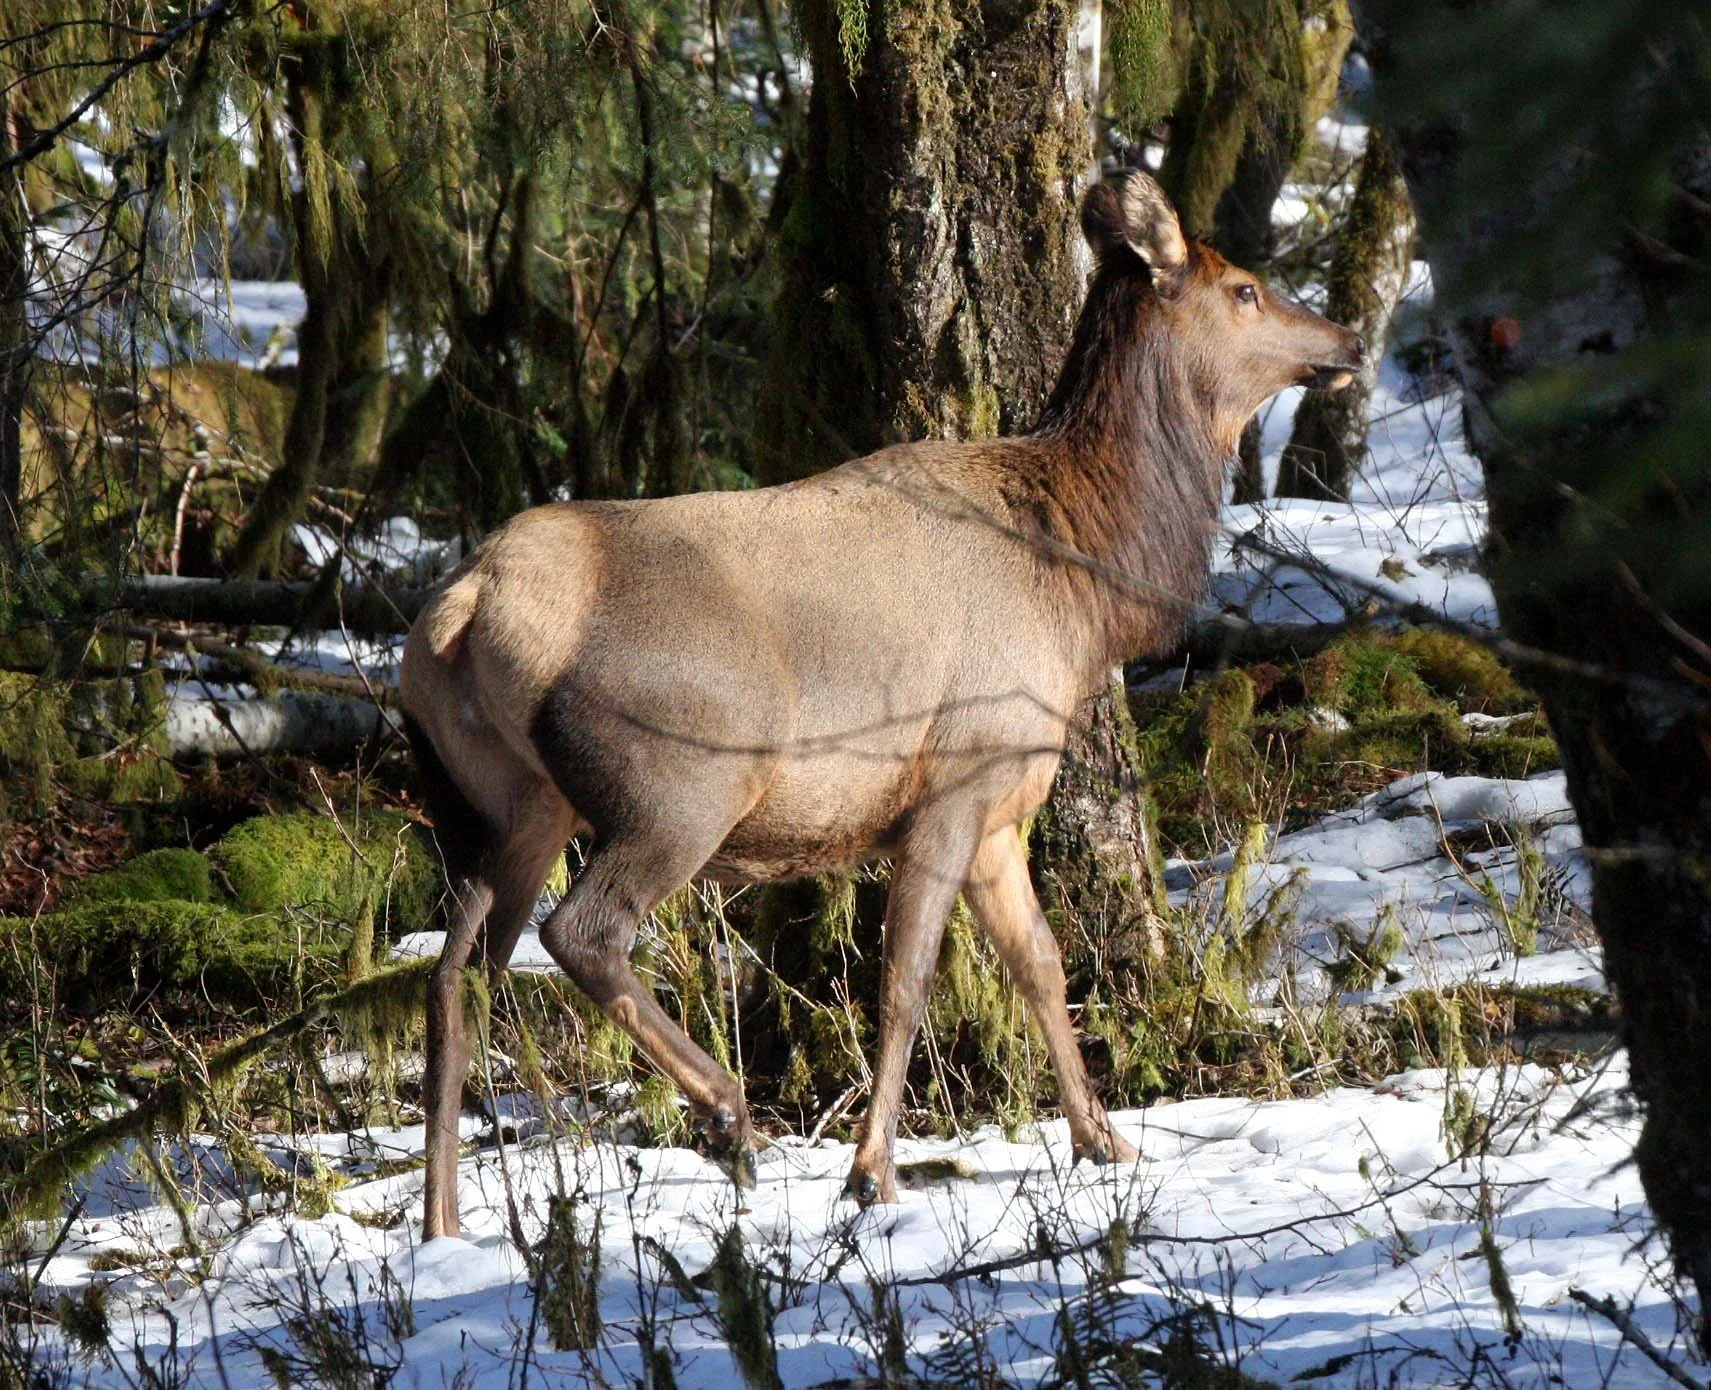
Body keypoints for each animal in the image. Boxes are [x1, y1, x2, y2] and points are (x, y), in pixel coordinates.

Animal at [399, 171, 1363, 1239]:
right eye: (1244, 289)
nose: (1350, 340)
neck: (1084, 586)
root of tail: (465, 608)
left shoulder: (999, 810)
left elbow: (1041, 964)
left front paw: (1104, 1141)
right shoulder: (954, 779)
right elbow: (905, 981)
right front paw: (871, 1174)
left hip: (493, 800)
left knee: (453, 974)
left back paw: (445, 1226)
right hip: (676, 785)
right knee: (578, 933)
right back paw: (728, 1114)